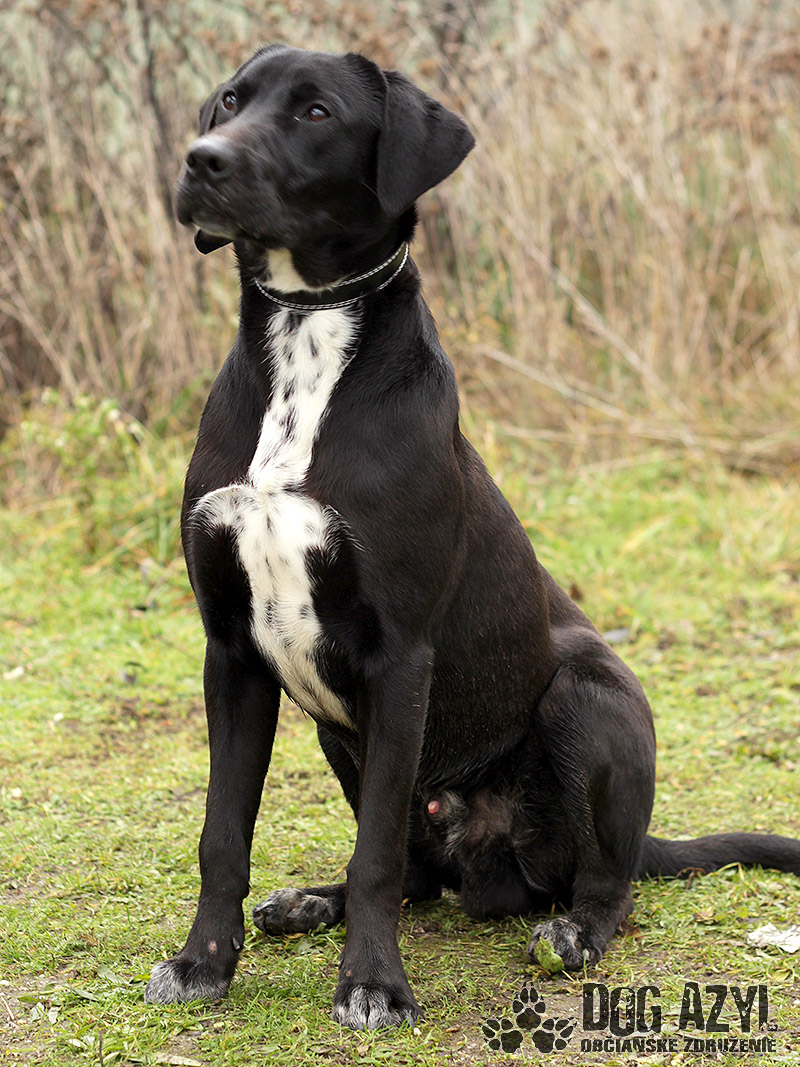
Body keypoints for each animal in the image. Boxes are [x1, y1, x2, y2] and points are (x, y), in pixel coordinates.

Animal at [144, 44, 800, 1029]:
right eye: (229, 100)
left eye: (315, 111)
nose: (200, 160)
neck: (307, 338)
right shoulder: (231, 650)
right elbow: (223, 834)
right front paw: (202, 963)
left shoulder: (400, 657)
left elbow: (374, 854)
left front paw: (374, 982)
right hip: (343, 736)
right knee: (421, 874)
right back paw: (309, 903)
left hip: (587, 700)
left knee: (602, 885)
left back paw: (573, 933)